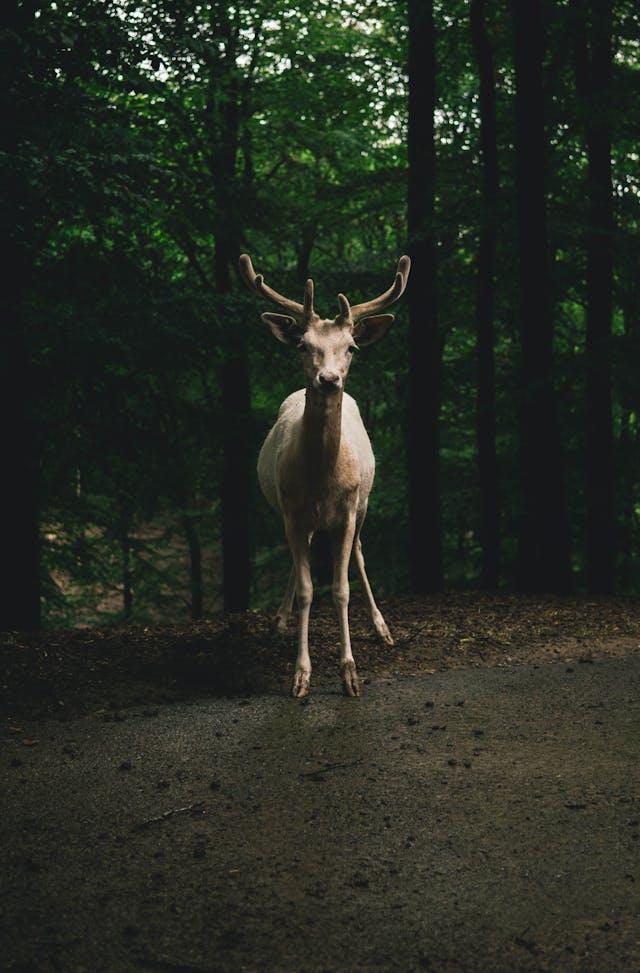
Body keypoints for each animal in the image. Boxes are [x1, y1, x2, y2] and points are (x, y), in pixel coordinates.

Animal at [239, 253, 411, 698]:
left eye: (350, 347)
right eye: (303, 345)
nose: (329, 379)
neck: (321, 482)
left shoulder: (347, 511)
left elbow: (341, 589)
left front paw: (350, 672)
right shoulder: (292, 512)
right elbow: (307, 590)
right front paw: (301, 674)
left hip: (364, 504)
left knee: (360, 555)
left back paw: (382, 627)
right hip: (289, 514)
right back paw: (279, 621)